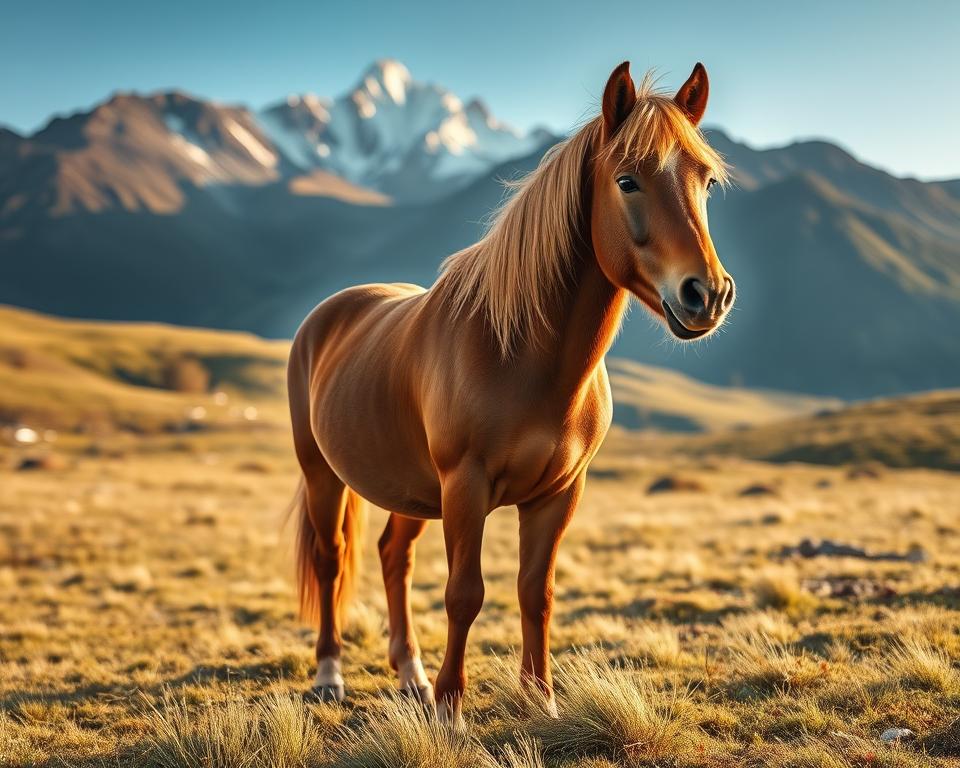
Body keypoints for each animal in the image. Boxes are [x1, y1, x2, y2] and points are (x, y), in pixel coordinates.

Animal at [287, 61, 735, 726]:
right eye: (627, 180)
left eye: (705, 180)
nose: (707, 294)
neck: (527, 357)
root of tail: (330, 313)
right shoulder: (465, 486)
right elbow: (464, 594)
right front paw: (452, 708)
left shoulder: (558, 494)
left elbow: (535, 592)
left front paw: (539, 698)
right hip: (324, 475)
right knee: (332, 558)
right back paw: (330, 676)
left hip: (410, 487)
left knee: (394, 556)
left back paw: (411, 675)